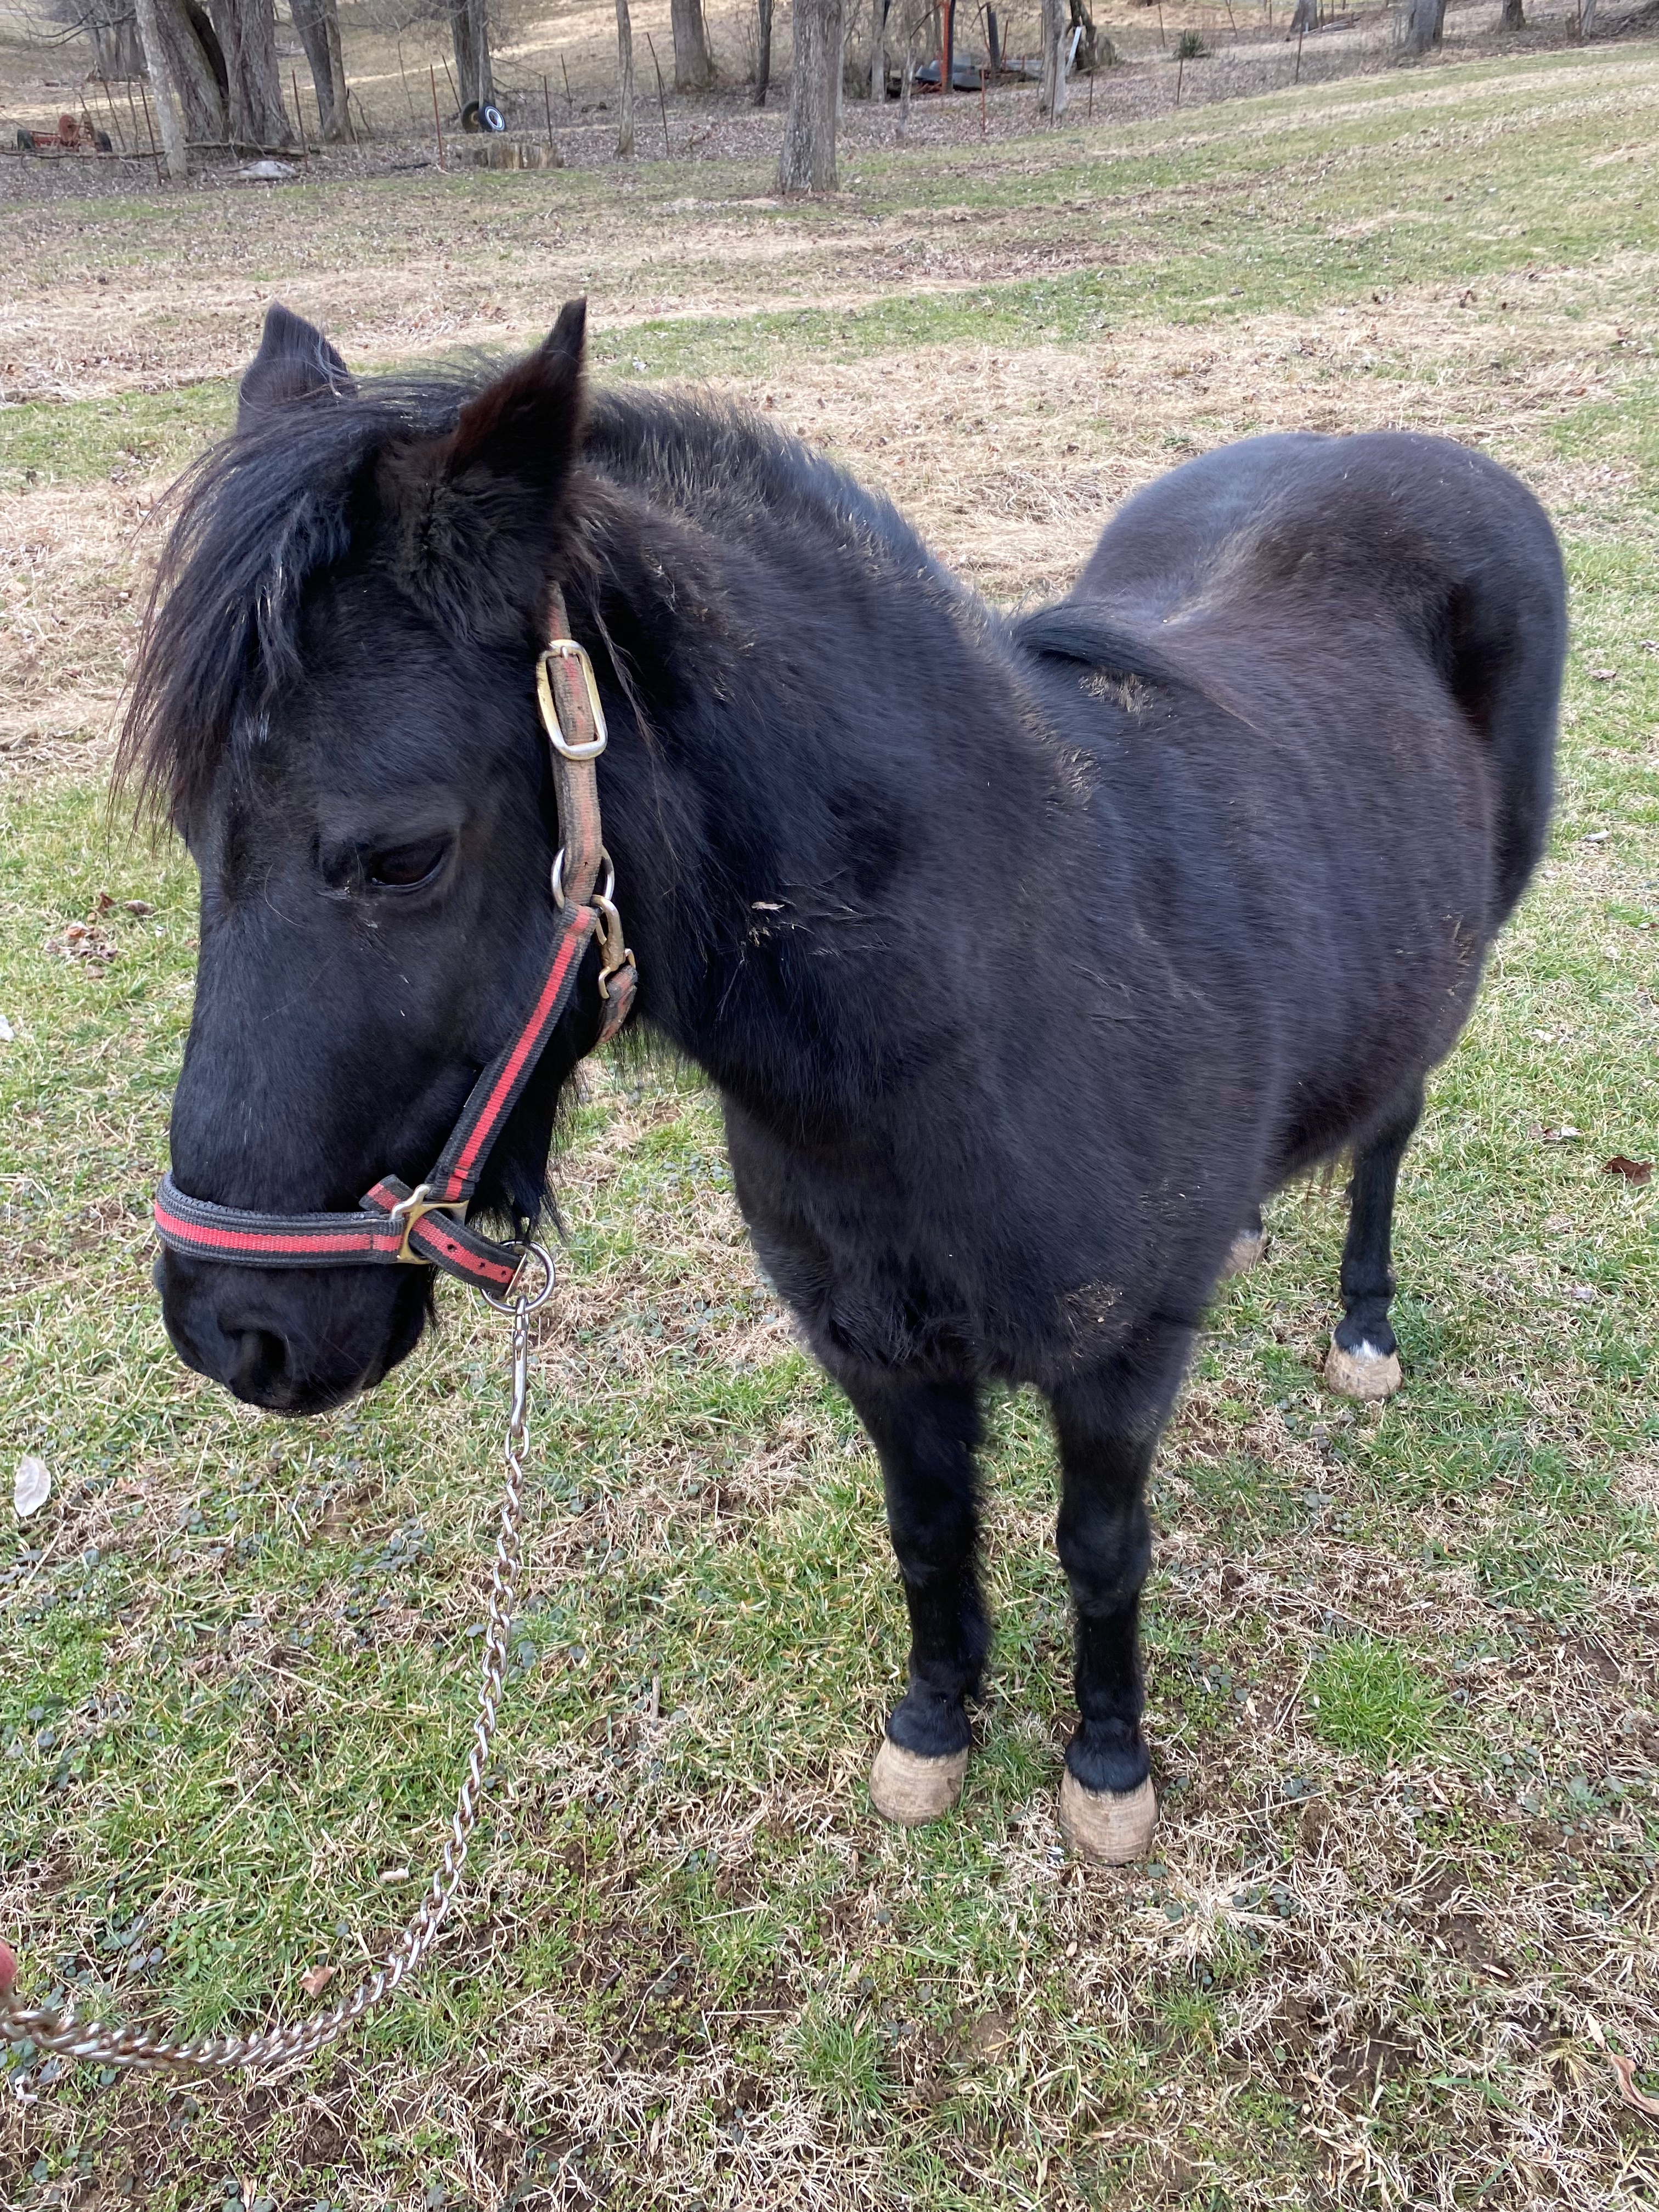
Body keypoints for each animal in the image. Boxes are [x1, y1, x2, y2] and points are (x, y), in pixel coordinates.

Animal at [128, 299, 1566, 1861]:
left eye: (401, 857)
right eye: (199, 837)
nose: (230, 1330)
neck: (981, 1018)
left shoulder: (1115, 1364)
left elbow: (1103, 1551)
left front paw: (1108, 1765)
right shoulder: (871, 1348)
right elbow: (930, 1535)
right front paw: (936, 1726)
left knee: (1388, 1137)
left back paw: (1365, 1329)